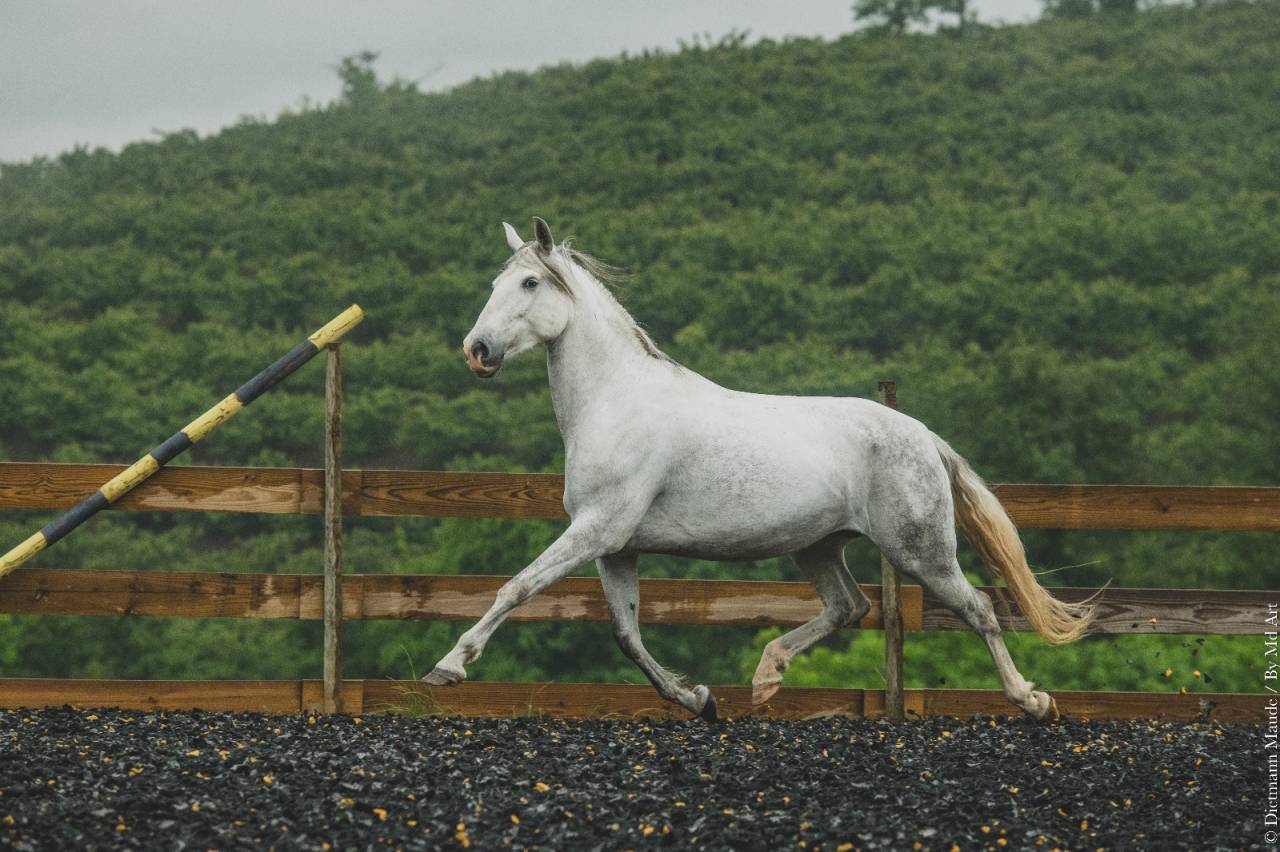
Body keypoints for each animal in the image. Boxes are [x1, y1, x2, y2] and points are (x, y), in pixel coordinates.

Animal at [422, 217, 1099, 722]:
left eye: (530, 282)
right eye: (497, 281)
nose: (477, 351)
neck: (617, 402)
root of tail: (923, 435)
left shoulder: (596, 529)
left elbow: (517, 587)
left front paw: (448, 666)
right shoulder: (617, 547)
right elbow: (627, 634)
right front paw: (697, 699)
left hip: (920, 549)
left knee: (977, 609)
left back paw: (1033, 701)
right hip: (819, 545)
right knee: (849, 606)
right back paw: (767, 676)